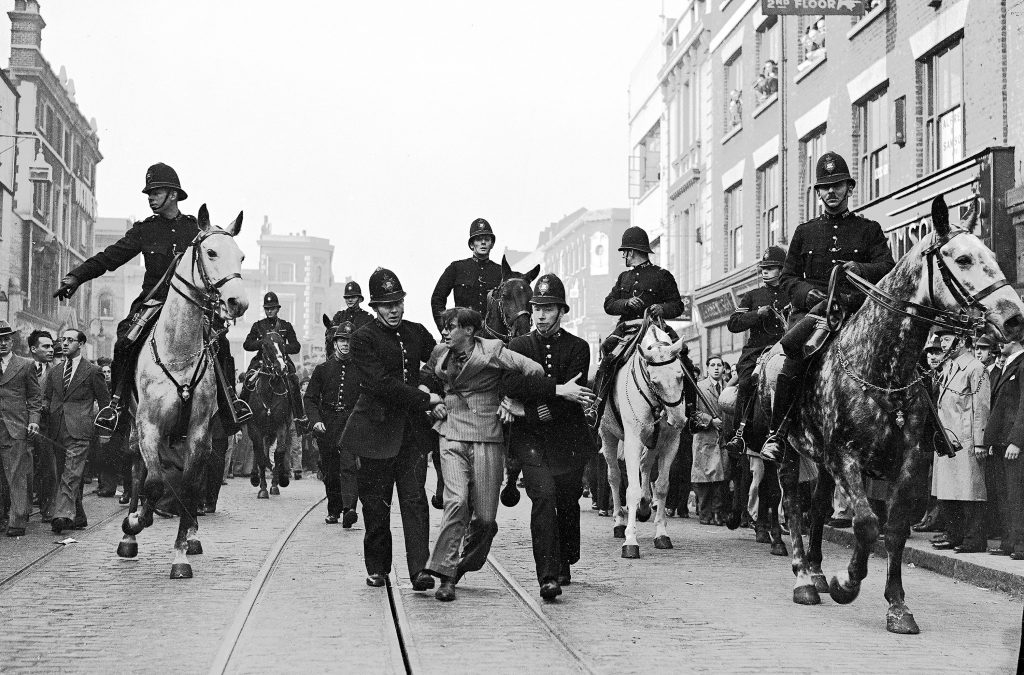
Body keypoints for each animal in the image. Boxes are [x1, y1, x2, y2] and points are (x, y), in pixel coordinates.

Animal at [115, 205, 247, 581]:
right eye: (211, 252)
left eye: (242, 256)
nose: (238, 302)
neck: (178, 350)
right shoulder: (148, 427)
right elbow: (154, 482)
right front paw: (137, 521)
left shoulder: (199, 433)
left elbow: (188, 487)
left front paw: (180, 553)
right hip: (134, 429)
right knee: (137, 471)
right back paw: (130, 533)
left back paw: (190, 535)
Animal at [245, 329, 294, 499]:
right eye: (265, 344)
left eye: (283, 343)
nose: (281, 368)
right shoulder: (254, 427)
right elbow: (260, 455)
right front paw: (263, 489)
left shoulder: (282, 425)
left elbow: (279, 453)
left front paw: (276, 483)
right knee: (258, 450)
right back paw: (254, 477)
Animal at [598, 325, 688, 557]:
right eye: (655, 382)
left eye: (681, 376)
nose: (678, 420)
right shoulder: (632, 440)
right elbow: (632, 490)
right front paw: (630, 541)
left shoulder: (670, 441)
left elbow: (662, 486)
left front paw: (662, 534)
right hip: (608, 436)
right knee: (614, 477)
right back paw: (619, 522)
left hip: (653, 441)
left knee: (645, 466)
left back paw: (646, 506)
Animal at [753, 195, 1024, 635]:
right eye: (963, 258)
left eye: (993, 256)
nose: (1014, 317)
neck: (881, 367)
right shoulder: (845, 456)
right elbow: (866, 523)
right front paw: (847, 583)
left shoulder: (911, 462)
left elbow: (894, 529)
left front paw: (897, 605)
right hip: (791, 453)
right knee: (792, 505)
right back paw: (803, 578)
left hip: (822, 462)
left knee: (817, 507)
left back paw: (817, 571)